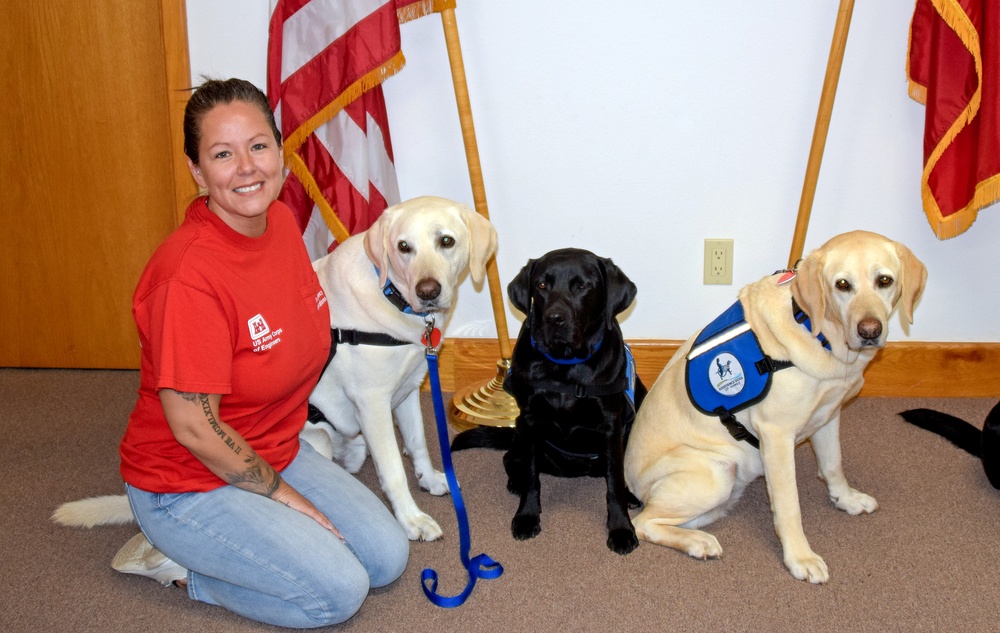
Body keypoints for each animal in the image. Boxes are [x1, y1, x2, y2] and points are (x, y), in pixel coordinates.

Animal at [300, 194, 496, 540]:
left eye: (446, 241)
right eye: (403, 247)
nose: (427, 292)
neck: (392, 295)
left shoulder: (408, 388)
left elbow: (417, 442)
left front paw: (430, 479)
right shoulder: (373, 403)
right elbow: (393, 471)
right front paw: (412, 519)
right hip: (320, 440)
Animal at [450, 247, 644, 552]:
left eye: (582, 286)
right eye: (541, 285)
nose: (554, 318)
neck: (565, 366)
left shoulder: (612, 424)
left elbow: (614, 483)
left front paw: (621, 529)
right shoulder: (530, 420)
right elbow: (532, 478)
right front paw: (527, 516)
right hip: (520, 430)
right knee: (511, 459)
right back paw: (515, 481)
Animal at [628, 231, 924, 584]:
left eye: (884, 280)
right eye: (842, 284)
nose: (869, 331)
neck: (815, 330)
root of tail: (632, 484)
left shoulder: (829, 415)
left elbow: (833, 465)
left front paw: (846, 498)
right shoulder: (777, 434)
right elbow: (788, 505)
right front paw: (800, 557)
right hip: (717, 473)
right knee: (641, 523)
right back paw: (697, 543)